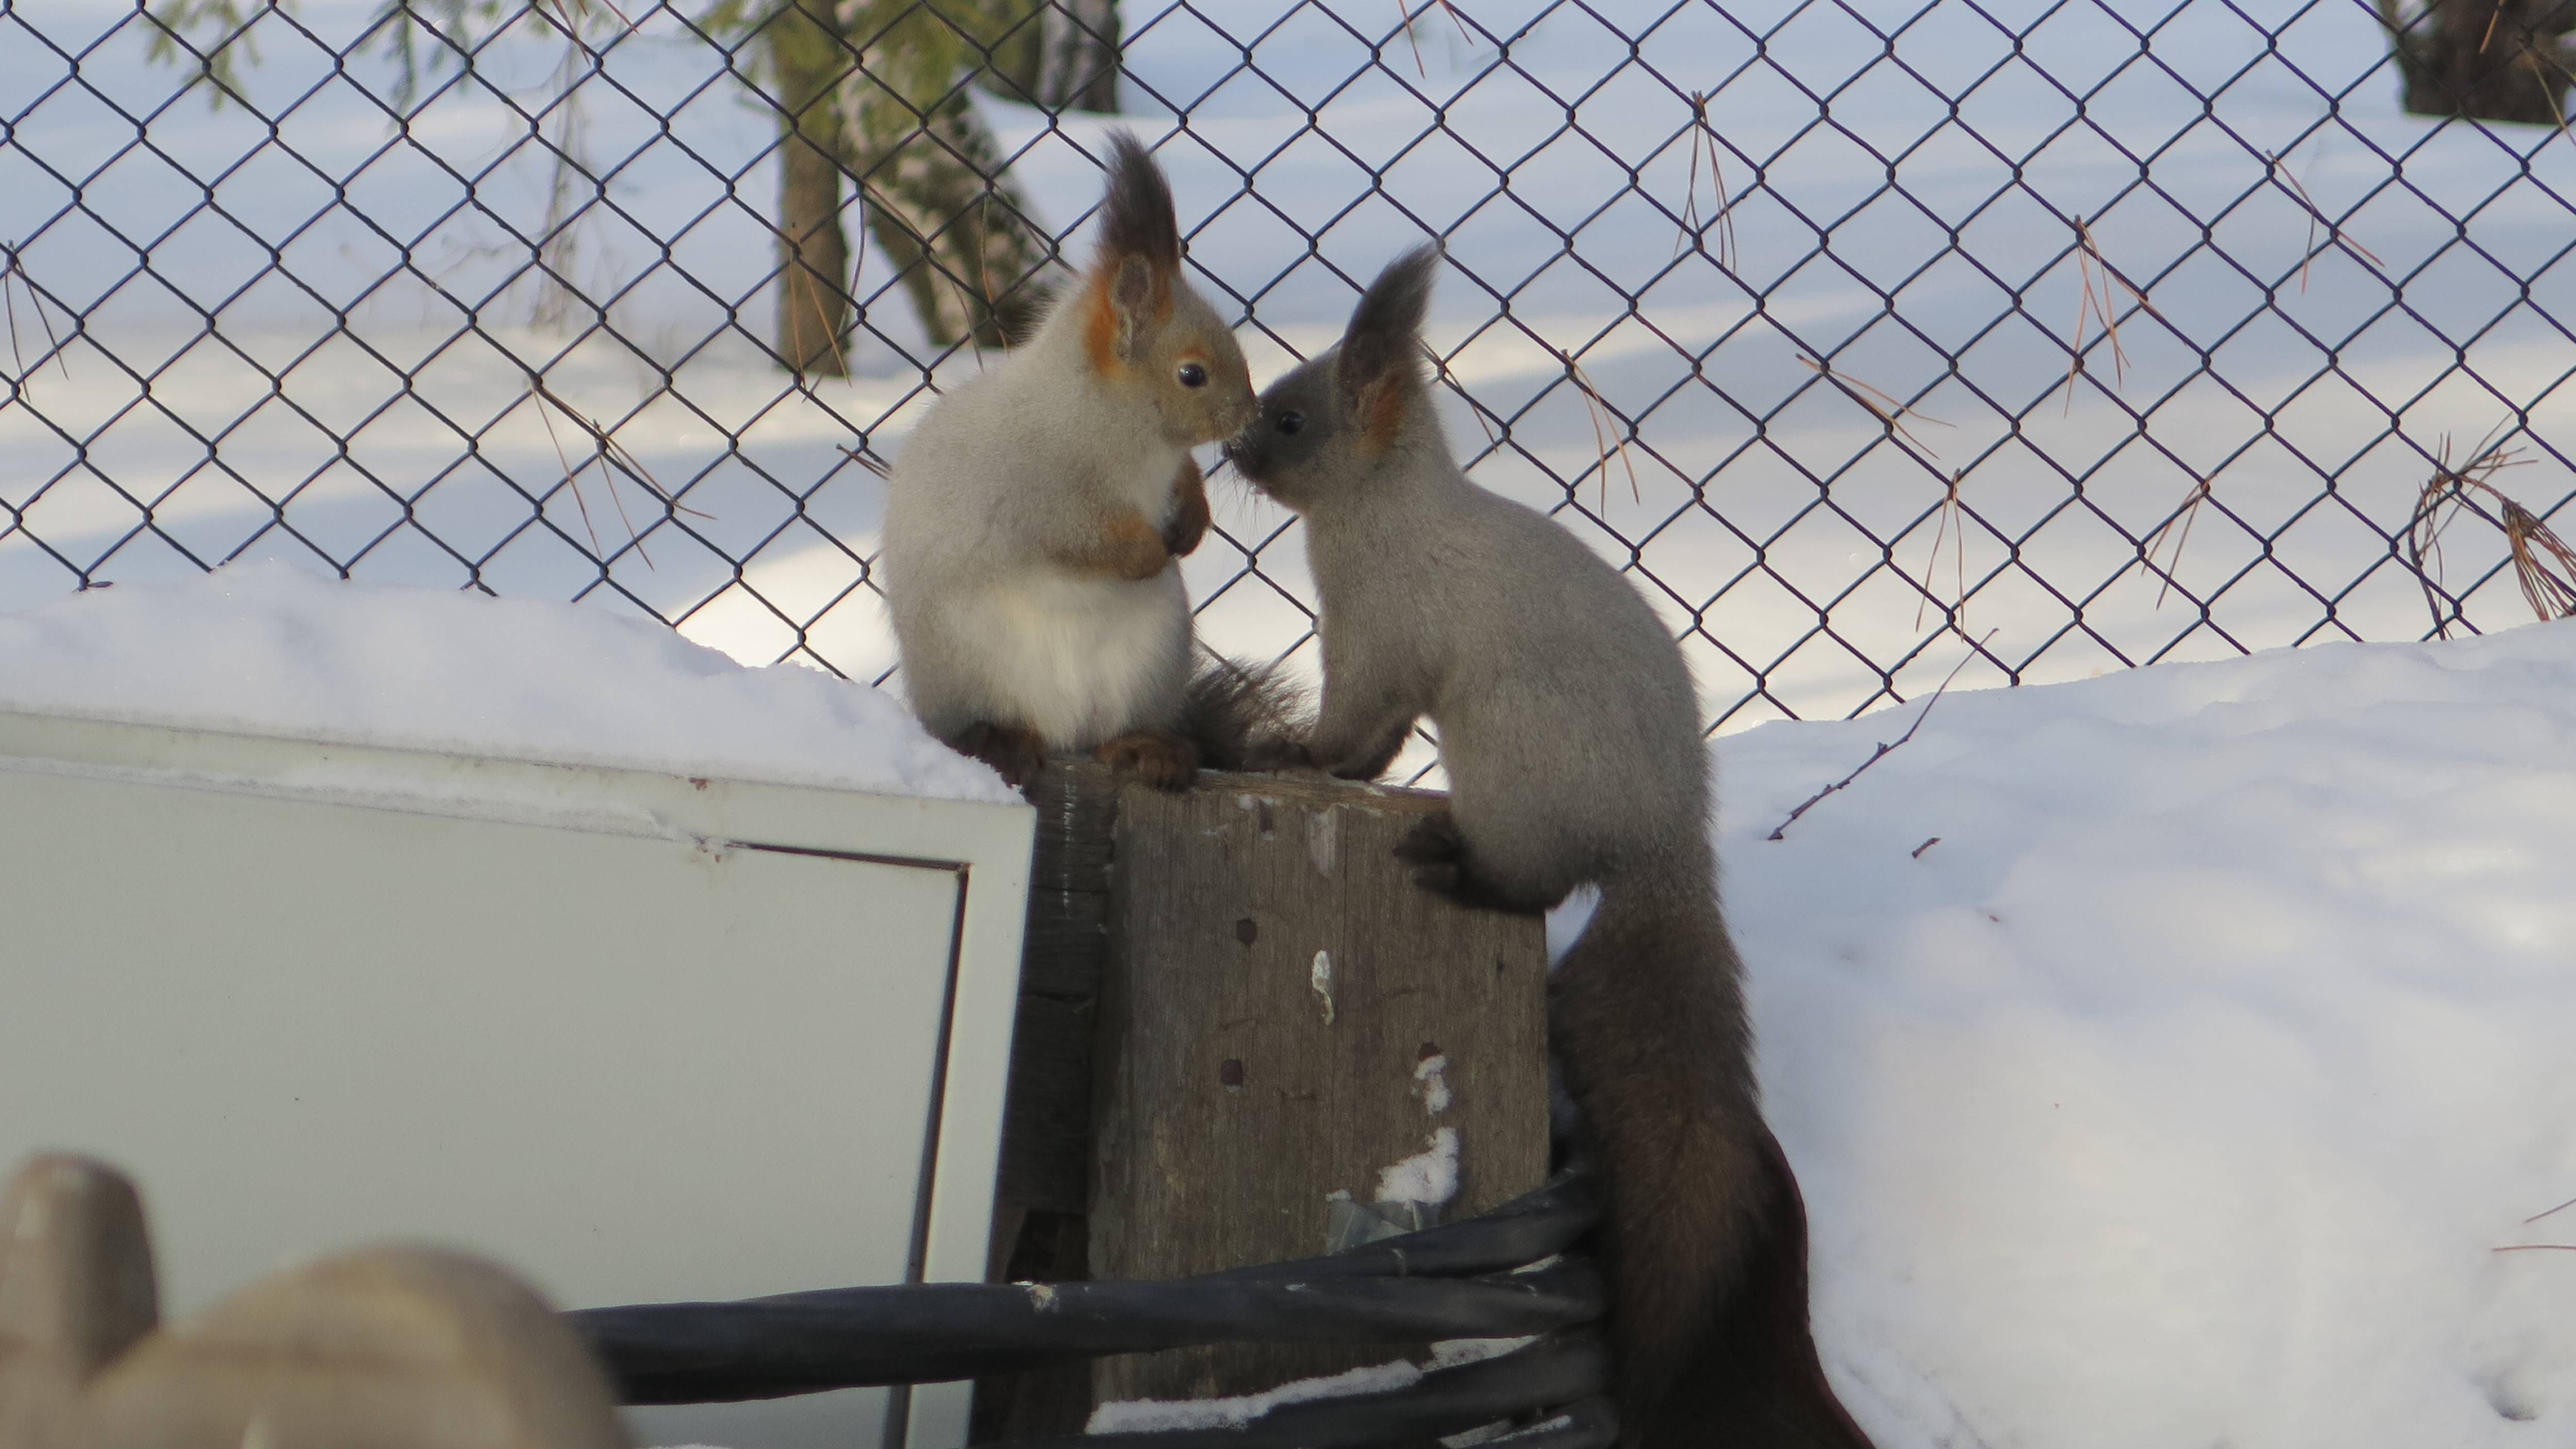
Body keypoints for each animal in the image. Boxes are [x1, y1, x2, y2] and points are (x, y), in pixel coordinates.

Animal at [881, 132, 1288, 789]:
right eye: (1191, 374)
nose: (1248, 413)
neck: (1126, 433)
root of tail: (1062, 733)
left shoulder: (1168, 466)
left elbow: (1185, 478)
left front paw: (1192, 522)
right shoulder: (1036, 498)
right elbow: (1084, 537)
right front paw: (1150, 551)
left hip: (1150, 662)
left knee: (1110, 735)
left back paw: (1149, 748)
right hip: (967, 665)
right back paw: (1001, 740)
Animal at [1226, 247, 1875, 1443]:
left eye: (1290, 419)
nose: (1232, 450)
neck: (1379, 514)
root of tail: (1661, 851)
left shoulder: (1374, 642)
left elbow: (1357, 736)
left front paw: (1299, 755)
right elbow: (1378, 744)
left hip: (1508, 758)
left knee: (1527, 881)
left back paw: (1454, 863)